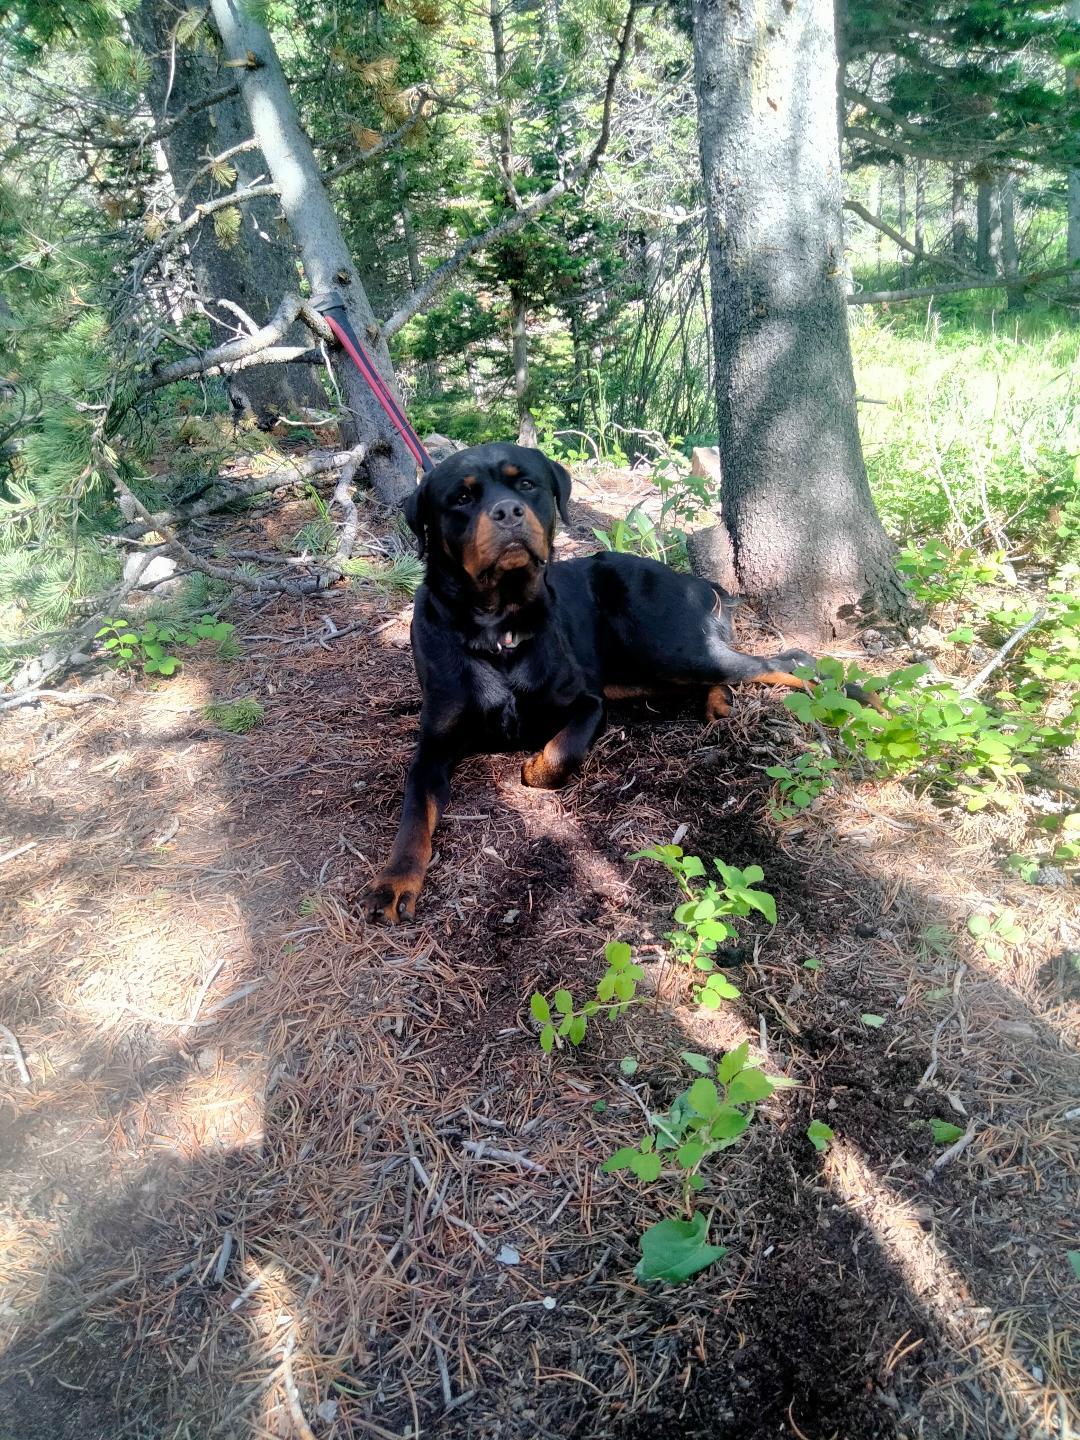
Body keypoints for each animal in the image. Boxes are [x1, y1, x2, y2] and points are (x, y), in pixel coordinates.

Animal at [364, 437, 829, 921]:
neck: (499, 630)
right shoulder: (433, 745)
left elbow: (561, 752)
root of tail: (698, 582)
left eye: (527, 484)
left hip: (668, 646)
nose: (508, 511)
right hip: (644, 670)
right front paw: (394, 881)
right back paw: (721, 703)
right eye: (460, 498)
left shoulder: (588, 702)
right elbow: (414, 814)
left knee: (783, 660)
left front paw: (533, 764)